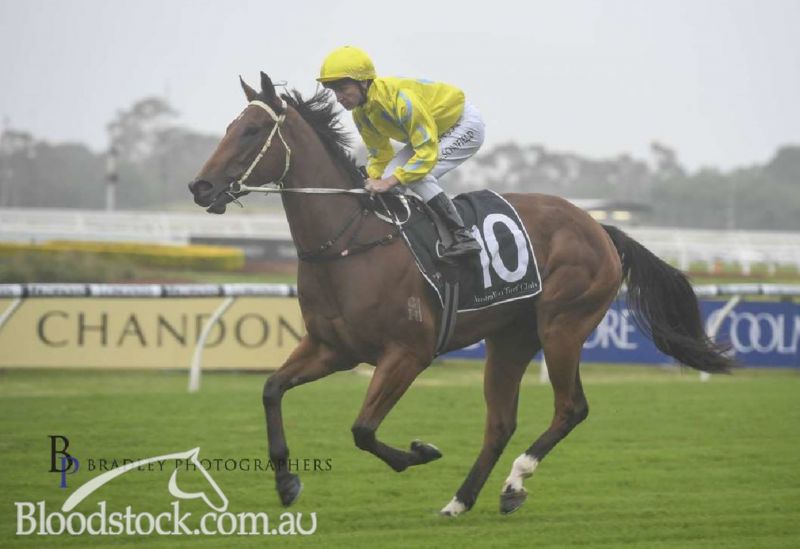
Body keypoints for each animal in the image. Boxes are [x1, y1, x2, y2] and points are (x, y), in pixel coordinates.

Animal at [188, 72, 733, 516]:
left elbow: (363, 429)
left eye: (251, 132)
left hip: (563, 326)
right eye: (230, 126)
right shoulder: (332, 349)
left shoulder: (408, 352)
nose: (200, 186)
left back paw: (514, 484)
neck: (350, 242)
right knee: (501, 423)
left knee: (570, 408)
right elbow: (271, 390)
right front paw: (286, 482)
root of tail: (601, 227)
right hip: (510, 338)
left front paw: (420, 452)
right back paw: (461, 500)